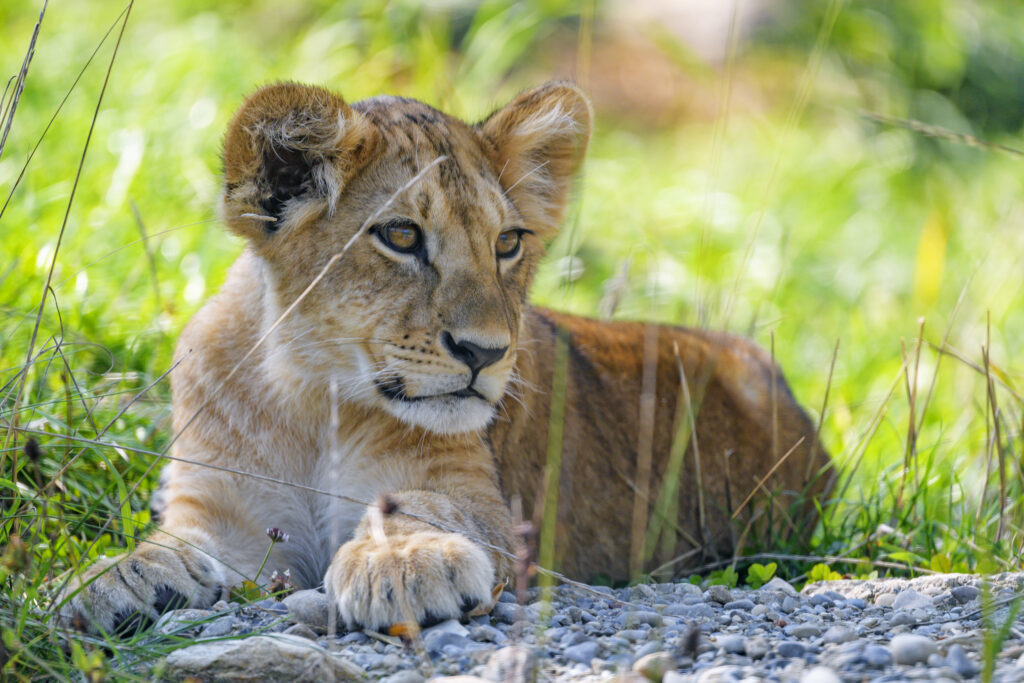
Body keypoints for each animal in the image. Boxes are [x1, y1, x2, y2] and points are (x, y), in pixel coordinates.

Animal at [60, 81, 830, 634]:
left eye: (508, 242)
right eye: (401, 235)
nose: (485, 352)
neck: (313, 394)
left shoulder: (488, 505)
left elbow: (422, 504)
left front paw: (403, 563)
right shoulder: (229, 521)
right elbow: (173, 544)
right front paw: (111, 580)